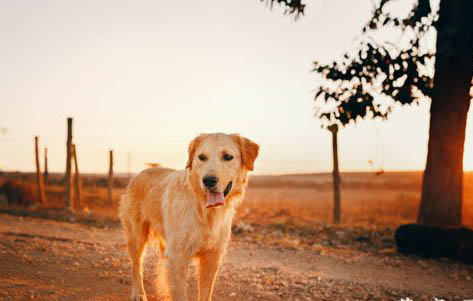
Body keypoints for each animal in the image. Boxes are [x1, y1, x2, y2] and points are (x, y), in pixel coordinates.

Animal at [118, 132, 258, 298]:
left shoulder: (212, 257)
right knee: (136, 266)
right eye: (202, 157)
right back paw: (138, 294)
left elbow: (205, 293)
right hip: (137, 237)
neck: (206, 212)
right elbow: (179, 293)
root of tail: (140, 173)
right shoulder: (178, 257)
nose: (208, 180)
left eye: (228, 157)